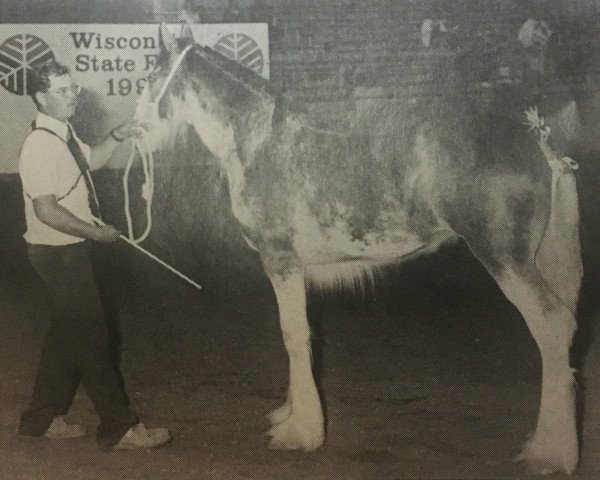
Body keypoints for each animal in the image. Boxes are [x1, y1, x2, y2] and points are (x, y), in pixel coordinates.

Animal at [139, 24, 580, 474]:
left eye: (150, 77)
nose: (132, 130)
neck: (260, 141)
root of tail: (537, 143)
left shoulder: (280, 260)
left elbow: (292, 334)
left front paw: (300, 433)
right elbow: (302, 334)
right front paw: (290, 415)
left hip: (505, 259)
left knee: (551, 324)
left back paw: (551, 453)